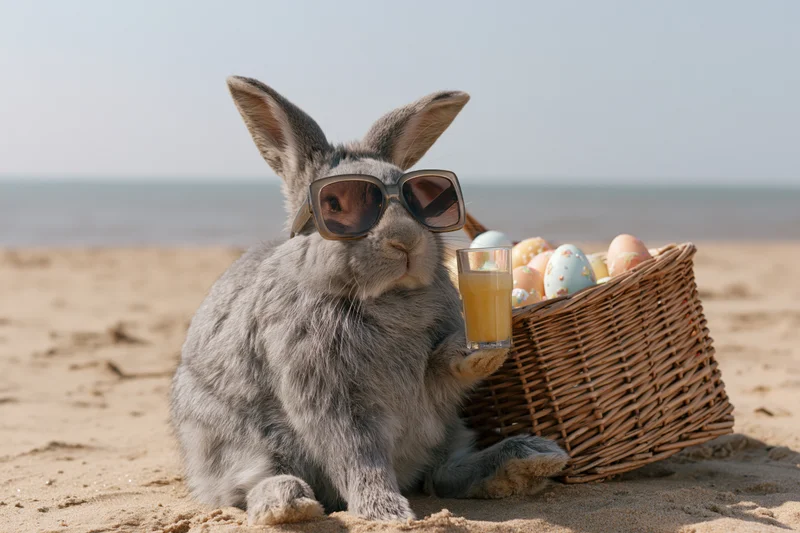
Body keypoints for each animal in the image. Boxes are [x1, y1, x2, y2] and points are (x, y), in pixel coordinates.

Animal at [169, 75, 569, 526]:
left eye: (421, 200)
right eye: (337, 203)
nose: (406, 239)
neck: (383, 298)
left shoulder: (428, 385)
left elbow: (445, 372)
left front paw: (480, 354)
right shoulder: (333, 401)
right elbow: (359, 456)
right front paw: (387, 513)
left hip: (446, 431)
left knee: (443, 473)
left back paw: (531, 458)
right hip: (239, 442)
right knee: (253, 483)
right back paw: (288, 504)